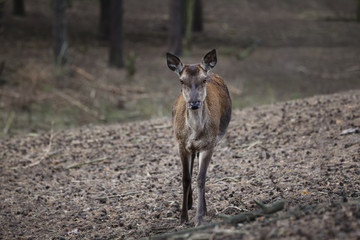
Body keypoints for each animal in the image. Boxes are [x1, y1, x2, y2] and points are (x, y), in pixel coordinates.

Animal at [167, 48, 232, 225]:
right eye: (181, 81)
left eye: (203, 80)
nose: (194, 103)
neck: (195, 132)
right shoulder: (181, 143)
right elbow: (185, 178)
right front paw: (183, 217)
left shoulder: (209, 144)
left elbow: (201, 178)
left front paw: (199, 217)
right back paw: (189, 204)